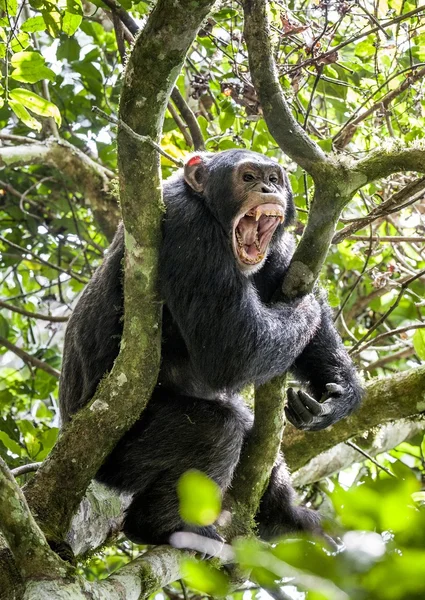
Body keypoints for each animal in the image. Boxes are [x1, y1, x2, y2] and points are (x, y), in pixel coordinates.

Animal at [59, 149, 362, 544]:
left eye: (274, 178)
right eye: (248, 177)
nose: (267, 188)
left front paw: (336, 398)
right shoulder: (190, 230)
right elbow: (233, 347)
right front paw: (306, 306)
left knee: (247, 430)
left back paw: (283, 517)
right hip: (119, 455)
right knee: (216, 430)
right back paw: (164, 526)